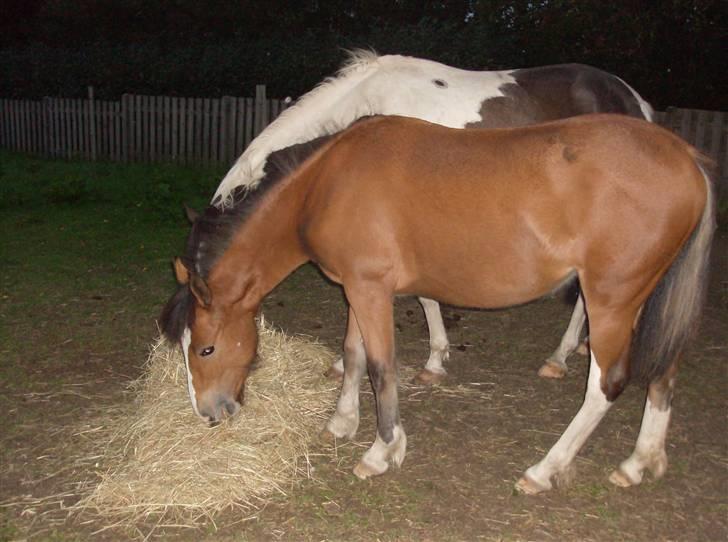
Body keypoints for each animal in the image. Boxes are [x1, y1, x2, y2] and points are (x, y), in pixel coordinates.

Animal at [162, 116, 712, 498]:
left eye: (206, 349)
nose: (209, 414)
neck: (326, 184)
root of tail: (686, 158)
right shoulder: (358, 289)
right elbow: (353, 354)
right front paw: (342, 422)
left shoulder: (370, 290)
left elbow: (381, 367)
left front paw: (382, 450)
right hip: (645, 300)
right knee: (664, 373)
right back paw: (639, 462)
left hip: (610, 301)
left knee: (605, 386)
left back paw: (544, 470)